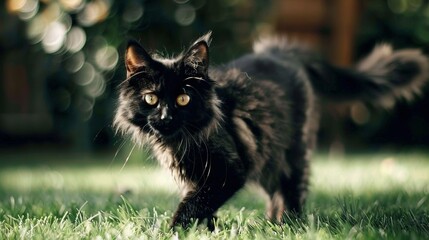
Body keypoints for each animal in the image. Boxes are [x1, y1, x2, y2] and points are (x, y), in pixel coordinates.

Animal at [113, 31, 424, 229]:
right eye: (151, 99)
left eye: (183, 99)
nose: (165, 117)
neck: (180, 142)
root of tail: (280, 51)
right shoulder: (197, 177)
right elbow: (201, 204)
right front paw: (206, 230)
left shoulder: (228, 172)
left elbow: (194, 204)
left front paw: (176, 230)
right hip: (266, 156)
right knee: (276, 189)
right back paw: (272, 222)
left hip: (291, 151)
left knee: (292, 187)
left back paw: (288, 224)